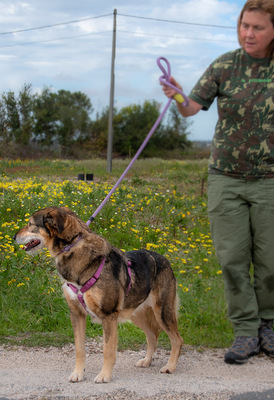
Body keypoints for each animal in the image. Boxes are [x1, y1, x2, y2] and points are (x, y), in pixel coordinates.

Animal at [13, 208, 184, 382]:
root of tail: (164, 259)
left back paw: (170, 367)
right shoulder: (77, 314)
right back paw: (147, 361)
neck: (73, 247)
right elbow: (79, 349)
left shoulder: (108, 316)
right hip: (136, 313)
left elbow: (107, 350)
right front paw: (78, 374)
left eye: (30, 224)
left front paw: (104, 375)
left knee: (177, 340)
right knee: (152, 336)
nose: (13, 237)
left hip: (163, 312)